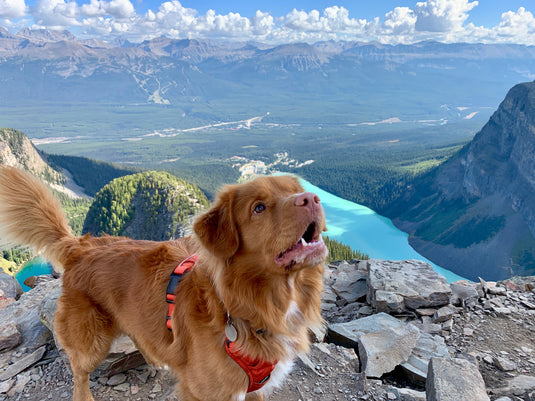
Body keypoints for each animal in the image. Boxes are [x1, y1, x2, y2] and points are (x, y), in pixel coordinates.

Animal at [0, 166, 328, 400]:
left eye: (297, 191)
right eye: (258, 208)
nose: (312, 199)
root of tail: (80, 246)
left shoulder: (251, 388)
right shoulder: (204, 392)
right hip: (91, 340)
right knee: (79, 374)